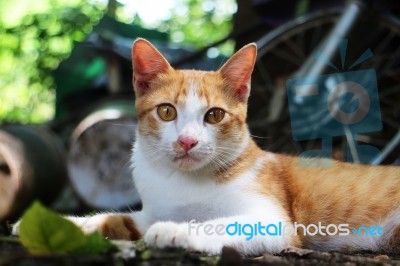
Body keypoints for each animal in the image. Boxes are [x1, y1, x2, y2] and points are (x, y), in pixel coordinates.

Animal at [13, 38, 400, 256]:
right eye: (167, 111)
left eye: (214, 115)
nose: (187, 141)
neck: (184, 182)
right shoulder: (151, 210)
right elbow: (114, 218)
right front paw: (60, 222)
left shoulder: (273, 221)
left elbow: (221, 224)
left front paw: (177, 230)